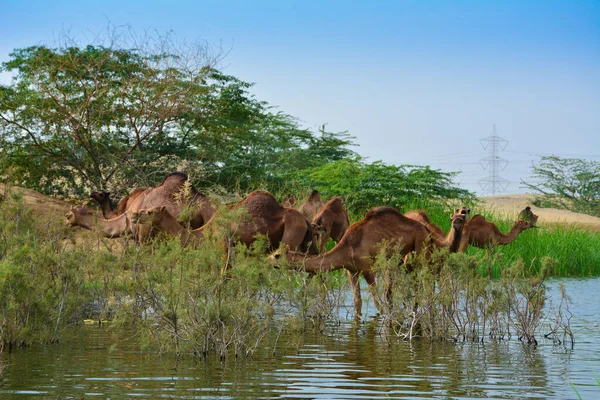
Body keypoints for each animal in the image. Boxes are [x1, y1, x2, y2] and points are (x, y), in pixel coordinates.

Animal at [131, 189, 318, 255]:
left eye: (150, 211)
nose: (134, 216)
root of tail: (305, 220)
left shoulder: (223, 245)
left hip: (291, 238)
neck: (205, 232)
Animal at [274, 206, 466, 316]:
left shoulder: (367, 269)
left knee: (424, 283)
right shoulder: (351, 270)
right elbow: (357, 301)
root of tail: (426, 229)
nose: (269, 261)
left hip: (421, 247)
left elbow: (376, 301)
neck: (346, 247)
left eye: (276, 255)